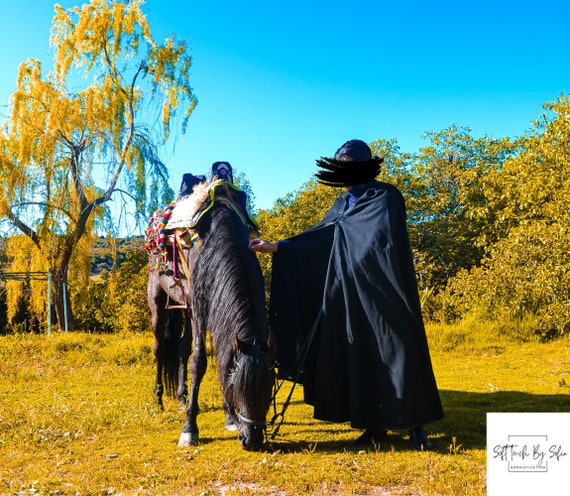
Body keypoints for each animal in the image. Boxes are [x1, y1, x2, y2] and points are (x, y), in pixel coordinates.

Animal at [146, 184, 276, 452]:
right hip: (159, 302)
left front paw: (229, 417)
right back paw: (159, 399)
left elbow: (221, 356)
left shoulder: (214, 310)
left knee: (182, 347)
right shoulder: (200, 309)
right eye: (239, 388)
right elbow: (199, 362)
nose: (252, 440)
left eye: (270, 388)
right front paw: (189, 429)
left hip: (185, 308)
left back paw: (182, 397)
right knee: (160, 348)